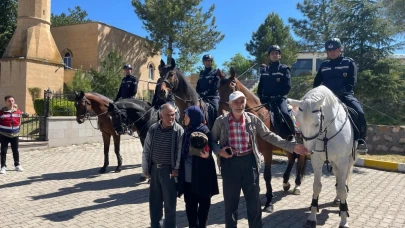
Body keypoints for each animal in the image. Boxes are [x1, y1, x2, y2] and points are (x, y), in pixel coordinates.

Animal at [288, 86, 356, 228]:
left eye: (316, 123)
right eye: (299, 121)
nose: (307, 149)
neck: (327, 132)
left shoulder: (342, 161)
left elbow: (342, 189)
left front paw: (343, 220)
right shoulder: (317, 161)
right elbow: (317, 186)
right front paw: (312, 216)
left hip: (350, 160)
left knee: (344, 181)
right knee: (338, 178)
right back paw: (337, 200)